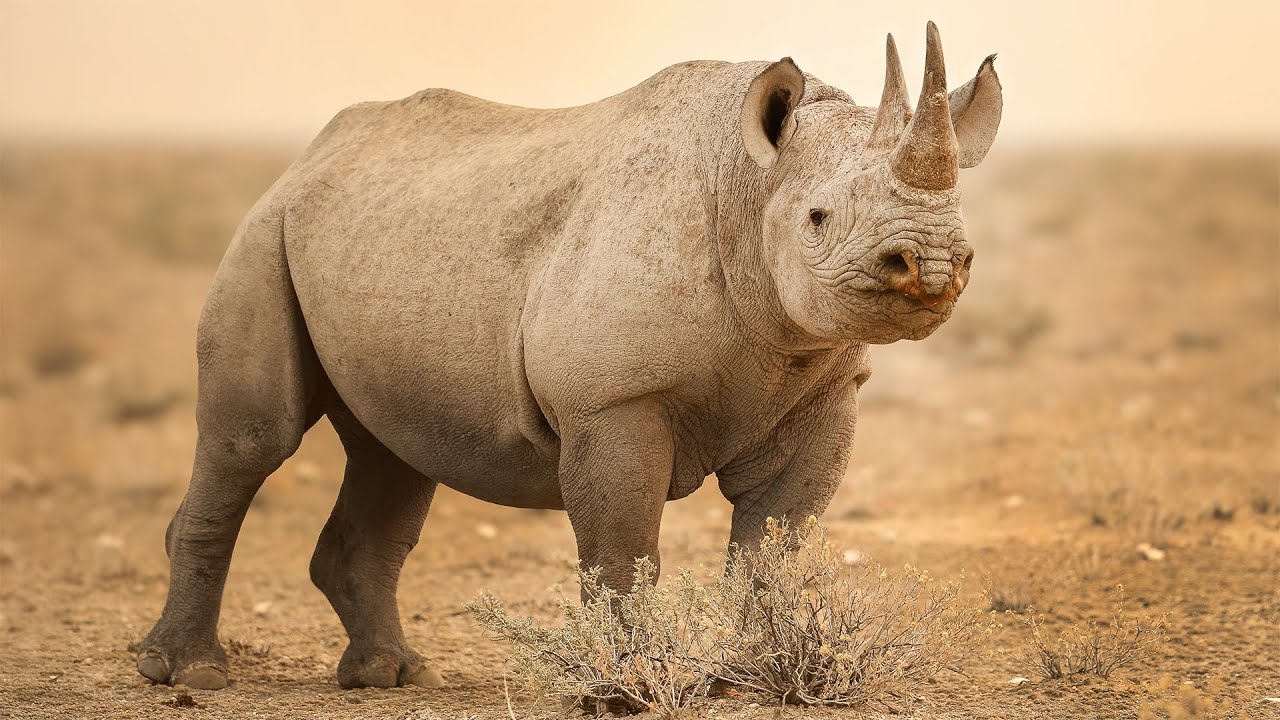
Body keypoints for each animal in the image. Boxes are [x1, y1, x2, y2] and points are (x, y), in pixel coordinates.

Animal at [136, 22, 1002, 691]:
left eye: (962, 212)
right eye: (818, 219)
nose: (931, 263)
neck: (750, 187)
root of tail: (306, 159)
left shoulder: (822, 386)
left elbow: (774, 548)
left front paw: (760, 676)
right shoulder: (613, 401)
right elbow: (622, 548)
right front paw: (625, 688)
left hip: (367, 235)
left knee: (395, 454)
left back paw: (389, 677)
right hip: (266, 231)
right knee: (253, 441)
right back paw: (189, 673)